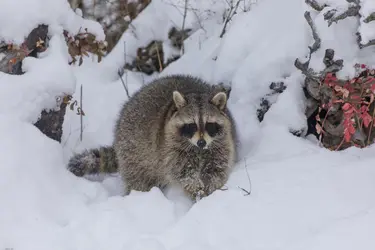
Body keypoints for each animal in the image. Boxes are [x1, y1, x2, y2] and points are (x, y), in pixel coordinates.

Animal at [67, 74, 238, 201]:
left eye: (209, 124)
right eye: (191, 125)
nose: (201, 142)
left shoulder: (222, 142)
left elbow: (218, 167)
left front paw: (212, 187)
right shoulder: (169, 147)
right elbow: (182, 172)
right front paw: (195, 187)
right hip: (133, 155)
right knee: (138, 182)